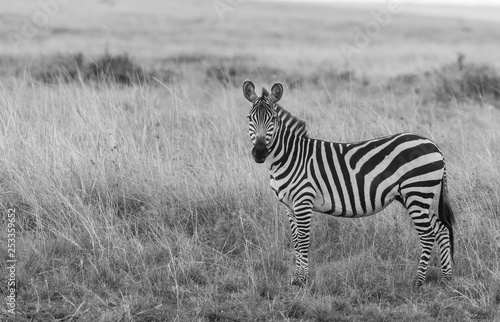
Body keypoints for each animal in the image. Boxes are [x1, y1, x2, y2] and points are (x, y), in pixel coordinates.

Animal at [243, 80, 458, 286]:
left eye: (273, 119)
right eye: (249, 118)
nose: (259, 153)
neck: (290, 156)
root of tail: (433, 144)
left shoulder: (303, 199)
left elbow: (303, 241)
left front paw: (301, 281)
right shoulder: (289, 205)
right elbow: (296, 241)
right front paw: (297, 278)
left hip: (417, 193)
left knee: (428, 235)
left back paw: (418, 281)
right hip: (415, 197)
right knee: (441, 229)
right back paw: (446, 278)